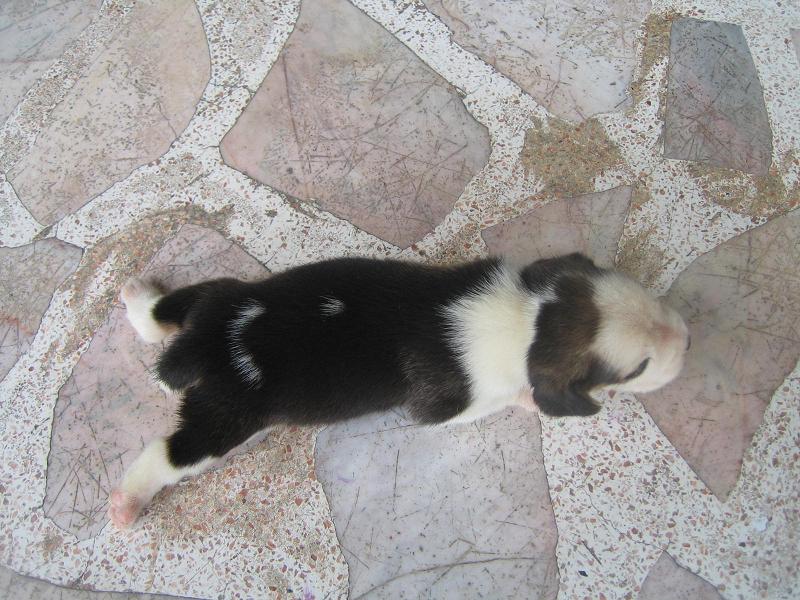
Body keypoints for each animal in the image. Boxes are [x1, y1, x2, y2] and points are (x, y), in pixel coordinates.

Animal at [108, 252, 689, 529]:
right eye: (636, 369)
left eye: (648, 296)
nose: (687, 338)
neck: (529, 320)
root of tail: (213, 343)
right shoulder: (452, 407)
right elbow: (506, 398)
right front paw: (529, 401)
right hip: (227, 418)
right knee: (168, 454)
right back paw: (125, 503)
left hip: (220, 295)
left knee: (167, 312)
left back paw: (139, 297)